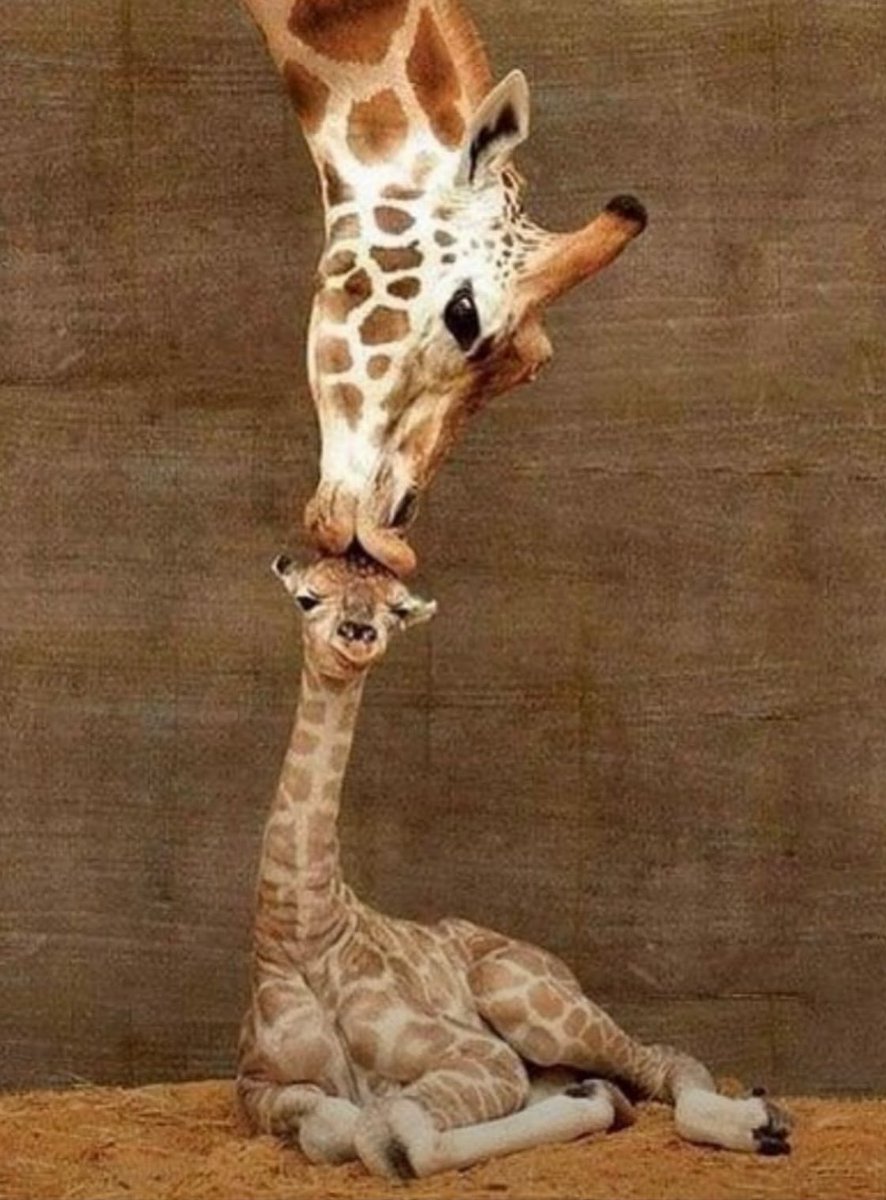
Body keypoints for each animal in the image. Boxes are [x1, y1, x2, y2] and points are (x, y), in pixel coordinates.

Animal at [237, 552, 792, 1179]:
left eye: (397, 610)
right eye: (308, 597)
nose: (358, 633)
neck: (301, 929)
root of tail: (559, 967)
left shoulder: (483, 1053)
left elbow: (386, 1131)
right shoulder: (255, 1085)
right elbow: (331, 1126)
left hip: (518, 993)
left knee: (662, 1060)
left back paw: (761, 1122)